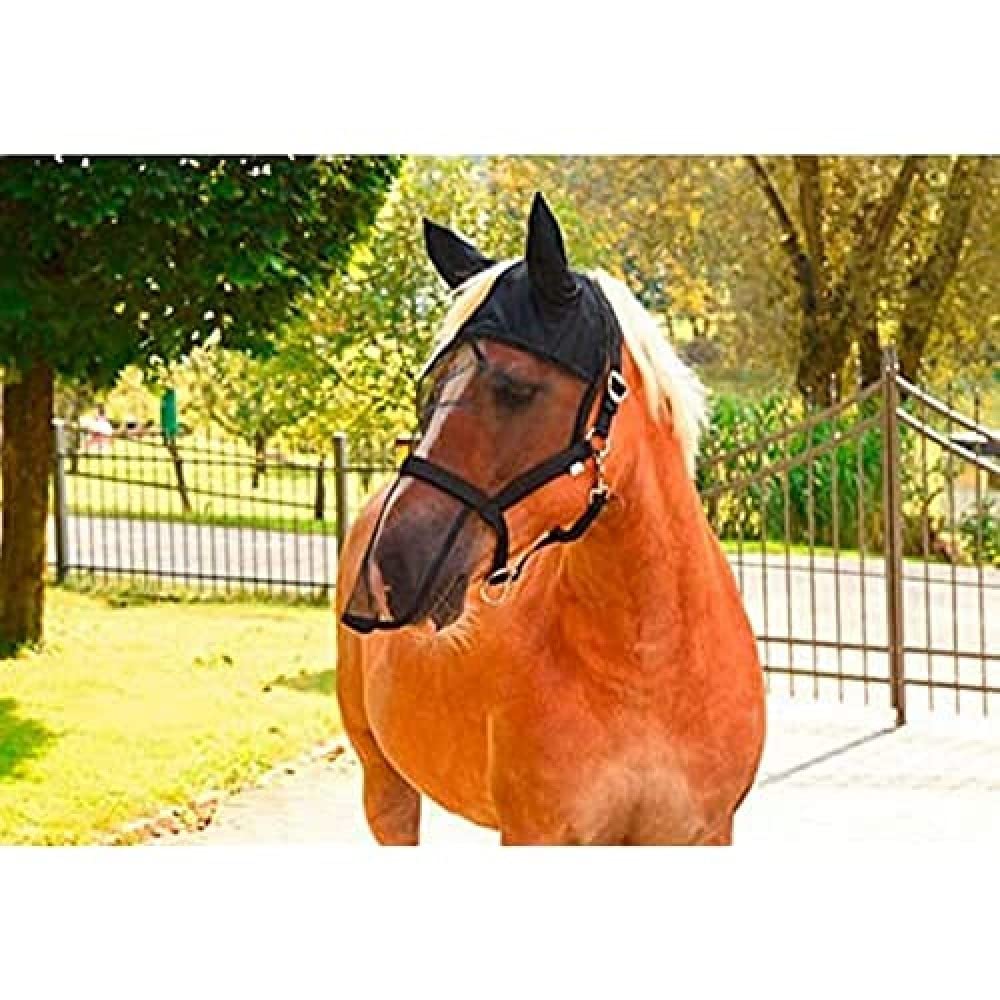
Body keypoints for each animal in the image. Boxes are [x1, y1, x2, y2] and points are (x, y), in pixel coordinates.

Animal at [336, 194, 766, 845]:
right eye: (431, 388)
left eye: (516, 388)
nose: (385, 576)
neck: (648, 662)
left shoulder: (703, 834)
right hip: (384, 784)